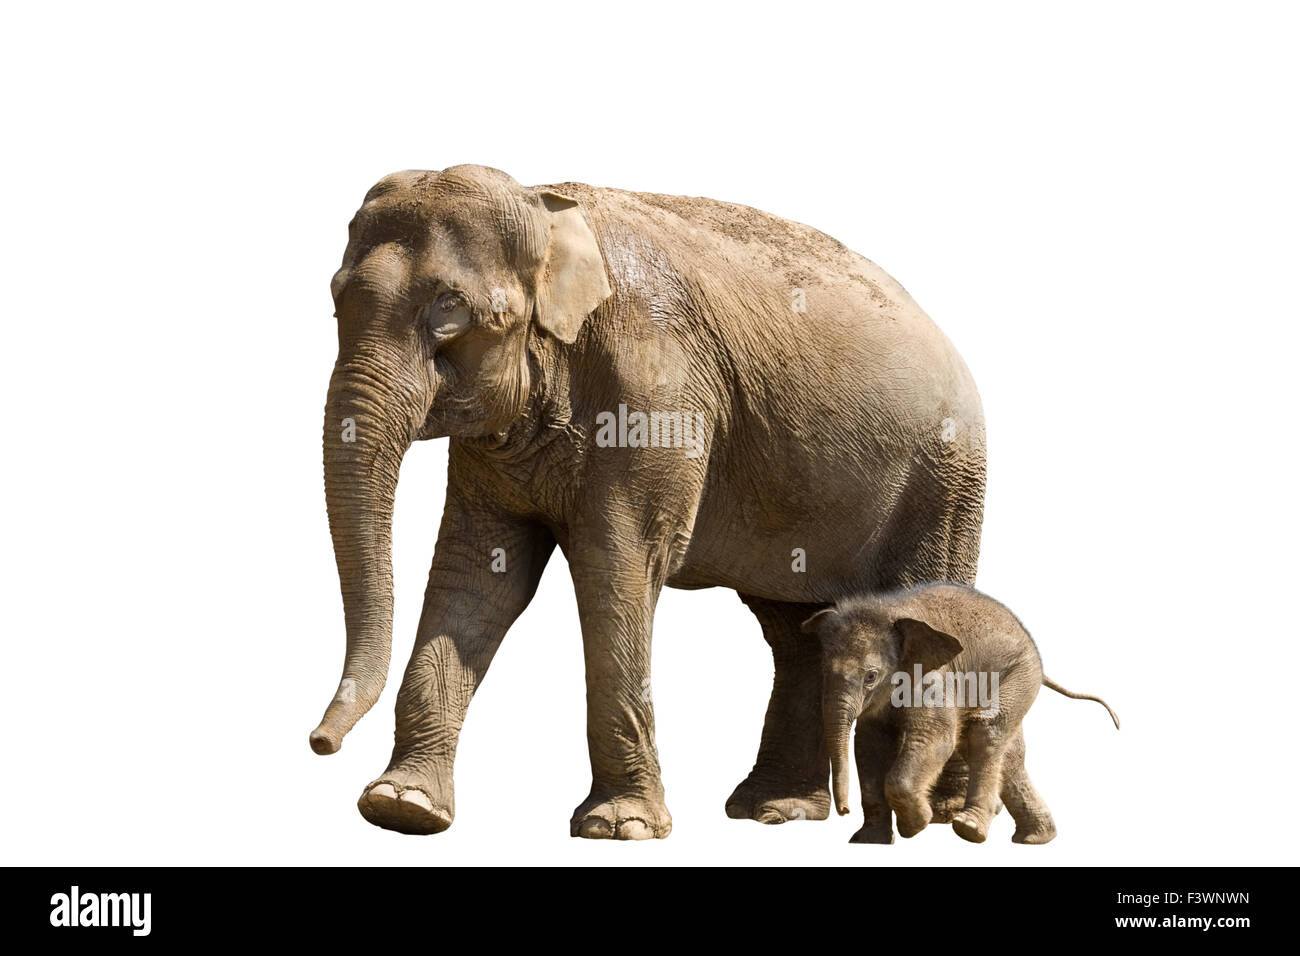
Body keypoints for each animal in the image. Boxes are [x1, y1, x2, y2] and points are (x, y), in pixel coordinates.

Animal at [312, 164, 982, 837]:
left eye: (450, 309)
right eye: (336, 297)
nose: (320, 743)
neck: (545, 210)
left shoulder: (655, 394)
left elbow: (616, 564)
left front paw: (619, 827)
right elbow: (480, 574)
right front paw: (402, 806)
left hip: (946, 484)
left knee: (926, 614)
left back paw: (943, 817)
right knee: (796, 632)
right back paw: (772, 810)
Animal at [800, 582, 1118, 842]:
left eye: (870, 676)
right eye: (823, 670)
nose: (843, 810)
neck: (890, 608)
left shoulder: (933, 676)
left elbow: (937, 736)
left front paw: (915, 826)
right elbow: (870, 745)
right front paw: (869, 842)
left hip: (1020, 673)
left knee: (983, 731)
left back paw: (970, 830)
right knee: (1009, 754)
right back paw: (1035, 838)